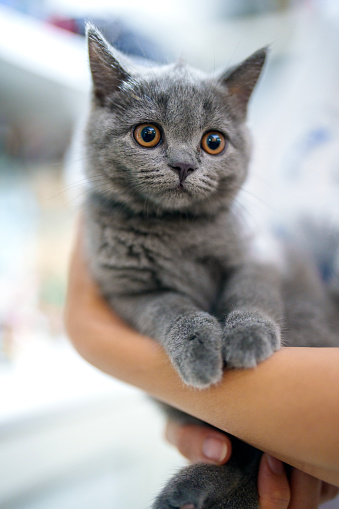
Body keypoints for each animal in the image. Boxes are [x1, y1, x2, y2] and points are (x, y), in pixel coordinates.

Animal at [82, 26, 339, 508]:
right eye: (148, 134)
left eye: (213, 141)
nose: (183, 165)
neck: (179, 230)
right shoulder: (129, 290)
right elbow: (172, 310)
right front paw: (201, 349)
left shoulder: (259, 254)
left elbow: (250, 291)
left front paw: (247, 338)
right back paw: (185, 493)